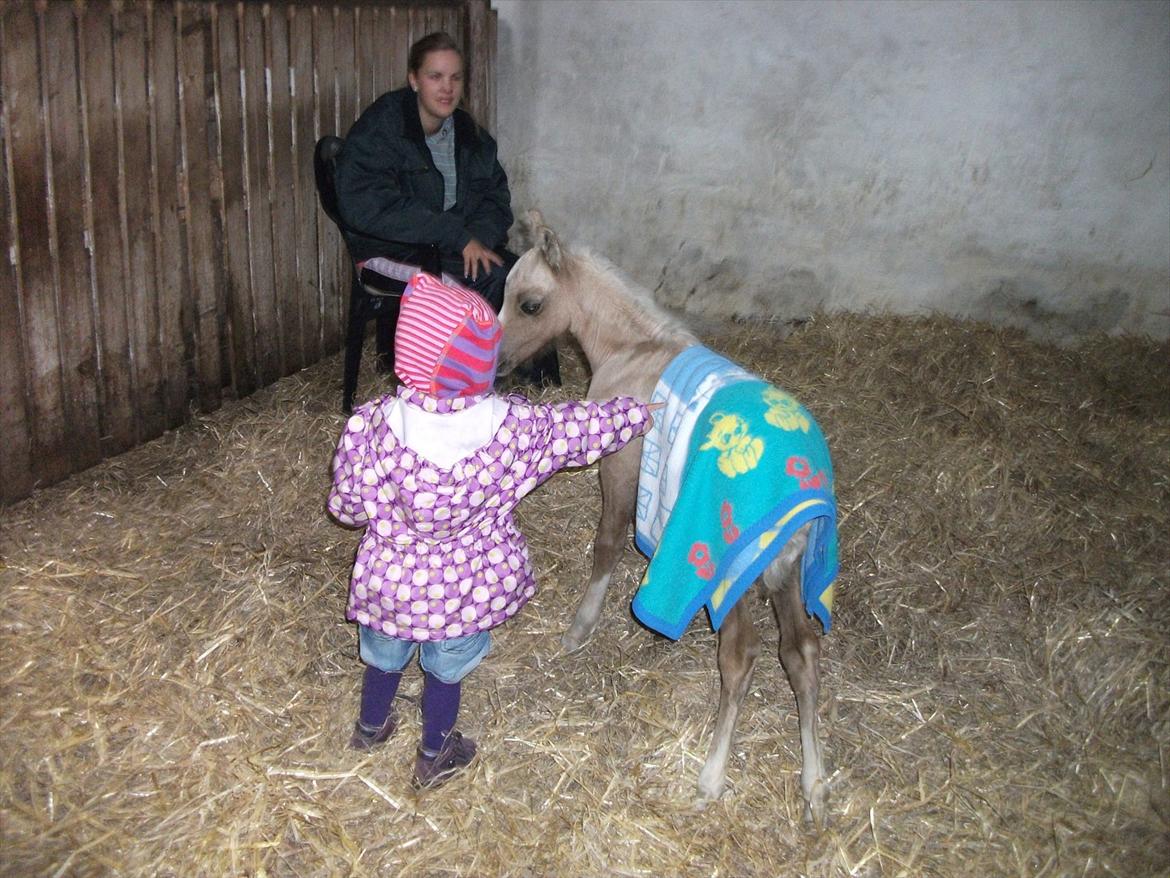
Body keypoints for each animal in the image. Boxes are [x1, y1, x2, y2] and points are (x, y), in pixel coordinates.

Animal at [498, 213, 828, 824]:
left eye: (529, 304)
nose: (498, 362)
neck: (634, 347)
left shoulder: (620, 463)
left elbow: (608, 542)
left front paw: (580, 629)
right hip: (784, 571)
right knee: (801, 653)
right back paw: (815, 784)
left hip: (734, 565)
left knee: (742, 653)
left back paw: (711, 777)